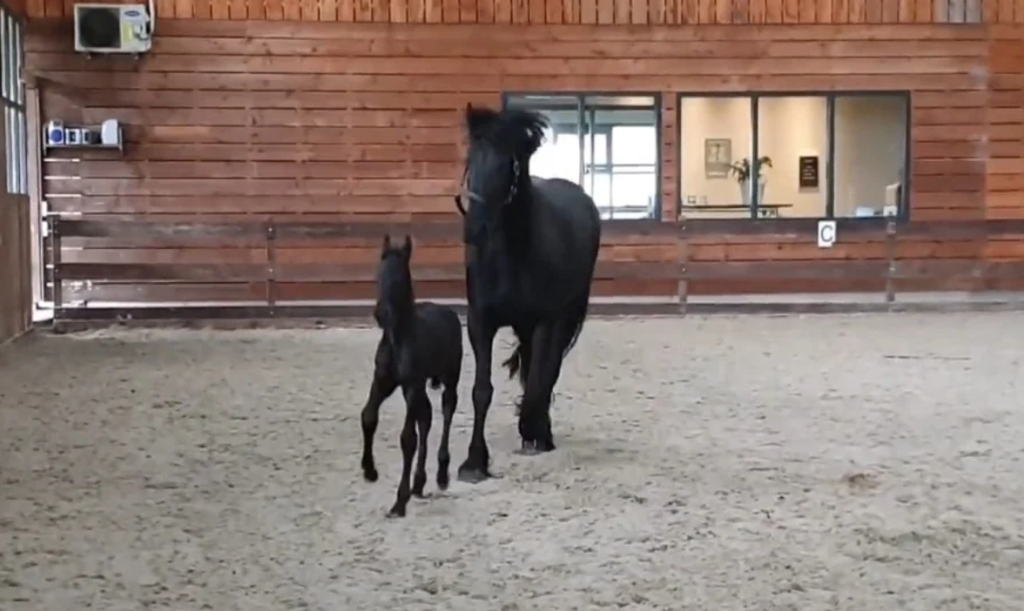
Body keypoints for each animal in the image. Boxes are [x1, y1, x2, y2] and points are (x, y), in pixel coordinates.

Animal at [356, 235, 460, 517]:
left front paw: (398, 502)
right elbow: (368, 416)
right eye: (379, 273)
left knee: (447, 410)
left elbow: (407, 439)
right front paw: (370, 471)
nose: (381, 314)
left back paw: (441, 474)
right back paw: (419, 483)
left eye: (400, 276)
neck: (397, 338)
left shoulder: (412, 385)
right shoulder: (383, 381)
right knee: (426, 418)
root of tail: (448, 312)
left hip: (449, 378)